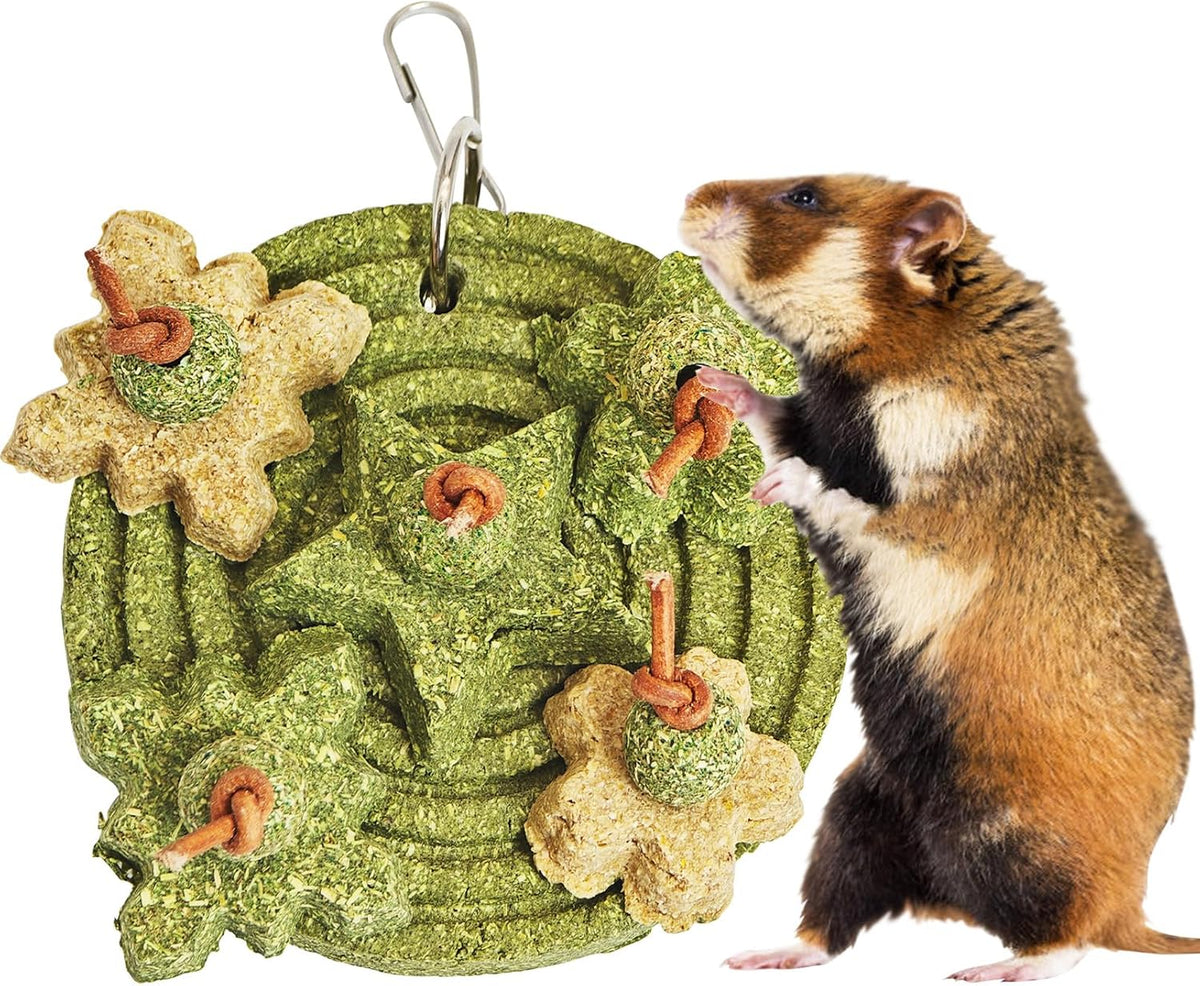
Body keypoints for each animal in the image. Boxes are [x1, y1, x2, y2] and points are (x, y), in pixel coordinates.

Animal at [679, 175, 1197, 981]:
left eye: (803, 197)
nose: (688, 199)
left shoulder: (936, 524)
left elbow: (836, 496)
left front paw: (778, 485)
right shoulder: (820, 422)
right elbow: (778, 416)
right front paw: (718, 382)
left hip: (1012, 836)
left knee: (1074, 938)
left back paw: (998, 967)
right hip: (857, 811)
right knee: (831, 923)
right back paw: (763, 956)